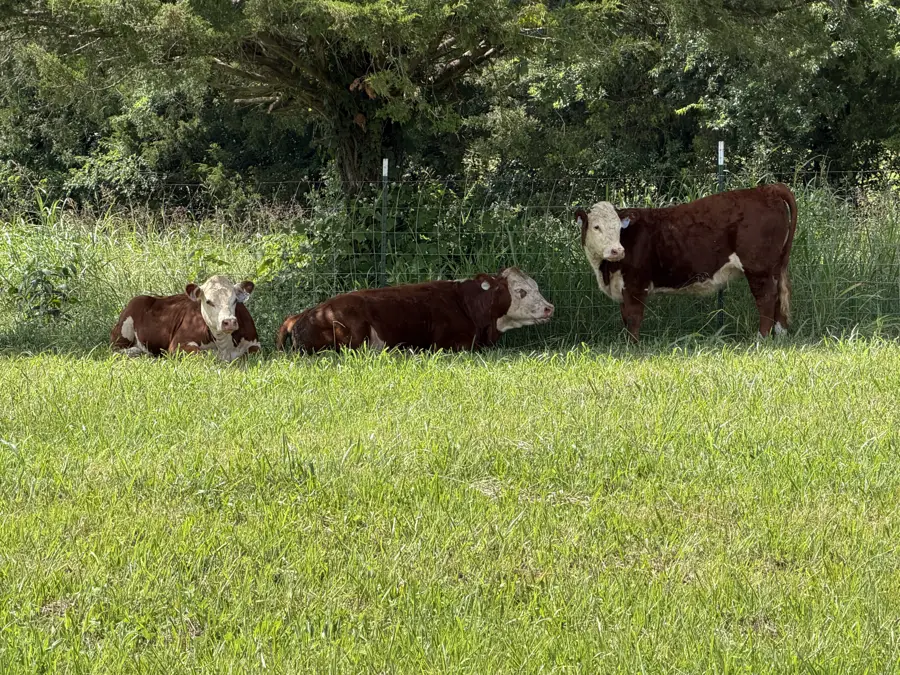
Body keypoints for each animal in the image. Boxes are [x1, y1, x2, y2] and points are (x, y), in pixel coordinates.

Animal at [111, 275, 260, 361]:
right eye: (209, 301)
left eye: (235, 301)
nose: (229, 322)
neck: (224, 345)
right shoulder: (178, 344)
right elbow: (201, 354)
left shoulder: (255, 344)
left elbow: (252, 352)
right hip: (122, 331)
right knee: (117, 349)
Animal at [575, 184, 798, 341]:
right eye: (596, 227)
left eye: (618, 228)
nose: (617, 250)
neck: (605, 270)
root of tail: (766, 189)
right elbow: (625, 318)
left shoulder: (636, 286)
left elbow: (633, 318)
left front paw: (633, 346)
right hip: (774, 267)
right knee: (778, 296)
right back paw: (780, 336)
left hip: (758, 268)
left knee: (766, 298)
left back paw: (761, 338)